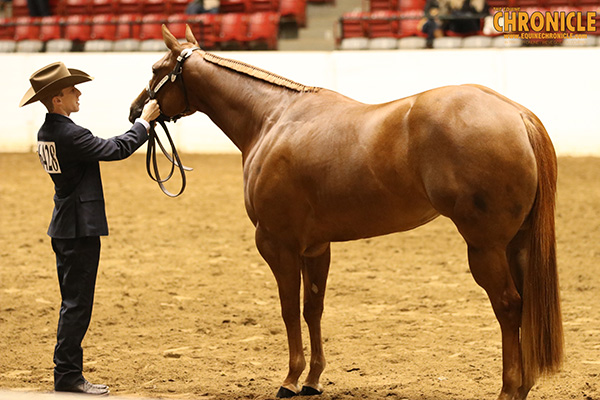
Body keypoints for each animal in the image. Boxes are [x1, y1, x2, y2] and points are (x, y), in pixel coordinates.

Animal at [129, 25, 564, 400]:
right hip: (516, 244)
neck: (273, 119)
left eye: (155, 69)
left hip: (485, 247)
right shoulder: (316, 247)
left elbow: (288, 310)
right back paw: (524, 385)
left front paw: (290, 380)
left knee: (508, 305)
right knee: (525, 304)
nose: (136, 111)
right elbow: (312, 308)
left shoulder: (276, 244)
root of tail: (517, 115)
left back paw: (509, 389)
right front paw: (313, 379)